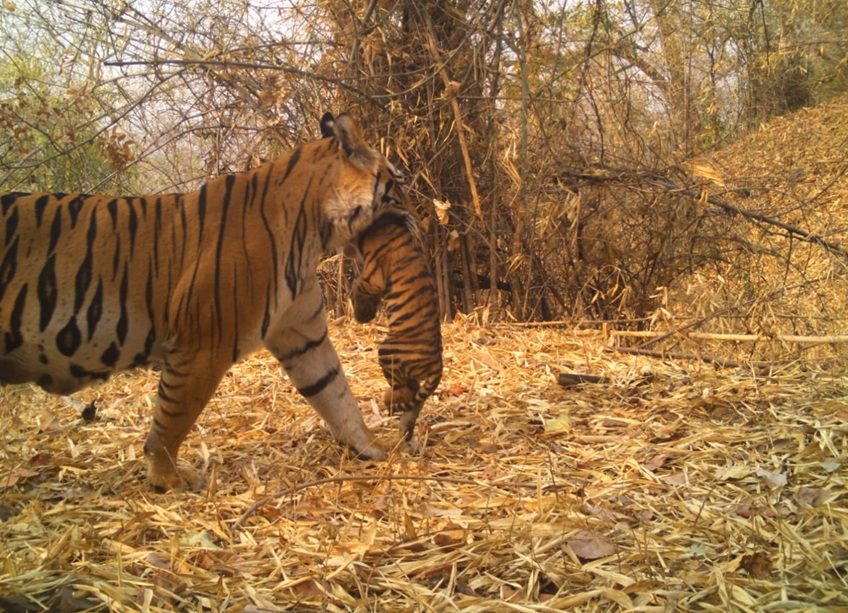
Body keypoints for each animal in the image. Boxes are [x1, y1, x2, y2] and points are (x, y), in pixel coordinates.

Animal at [0, 112, 406, 491]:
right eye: (397, 185)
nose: (414, 213)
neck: (313, 233)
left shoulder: (302, 333)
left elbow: (336, 392)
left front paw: (372, 446)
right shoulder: (202, 346)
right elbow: (173, 417)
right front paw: (167, 478)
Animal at [350, 207, 442, 442]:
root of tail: (438, 366)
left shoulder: (372, 277)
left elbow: (357, 288)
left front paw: (360, 315)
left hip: (388, 350)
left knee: (403, 391)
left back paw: (387, 400)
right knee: (414, 394)